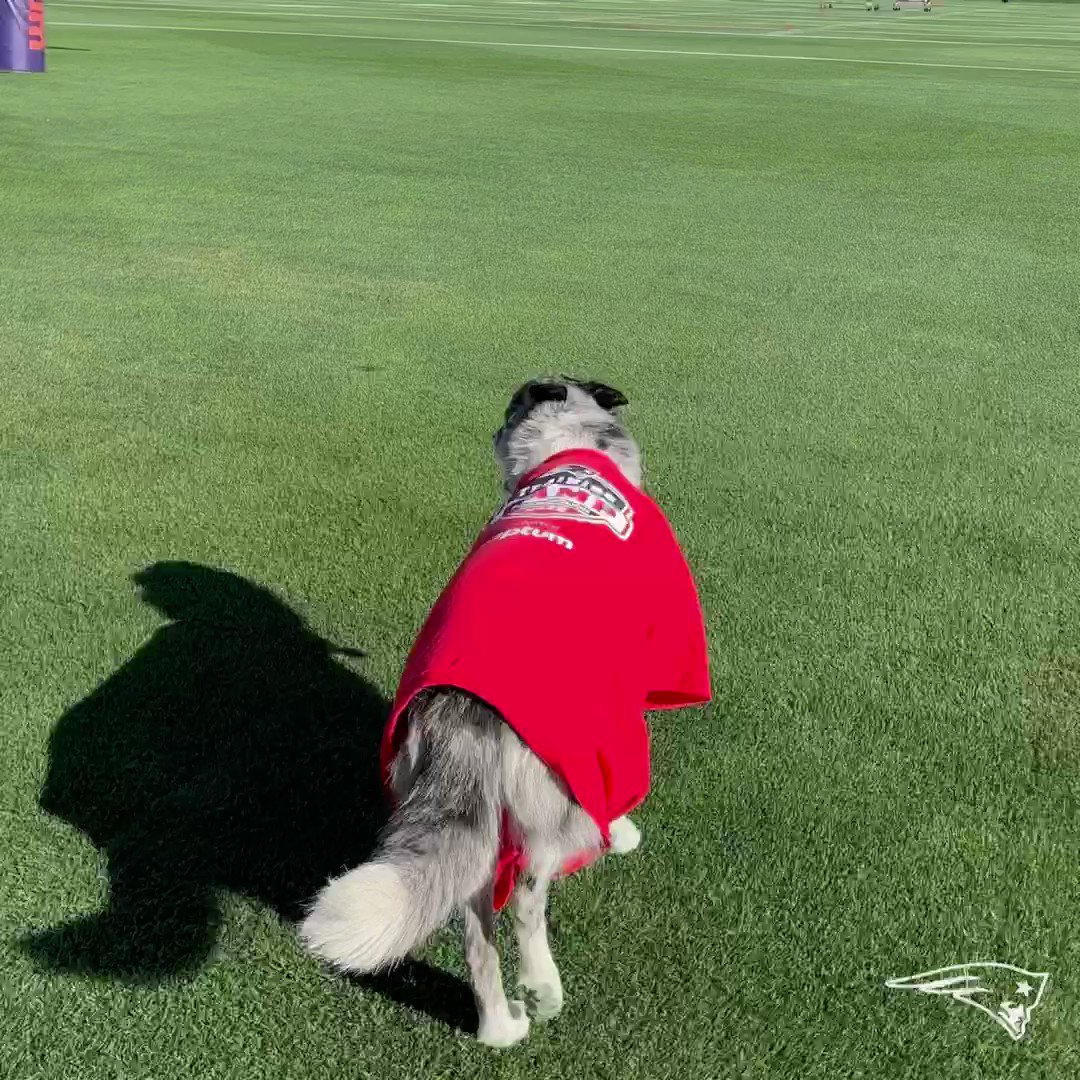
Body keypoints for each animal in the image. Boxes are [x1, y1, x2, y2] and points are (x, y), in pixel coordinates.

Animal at [300, 380, 712, 1045]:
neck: (570, 445)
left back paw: (498, 1027)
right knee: (523, 897)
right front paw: (623, 831)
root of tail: (464, 719)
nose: (491, 431)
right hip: (546, 800)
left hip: (460, 815)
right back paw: (544, 989)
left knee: (473, 925)